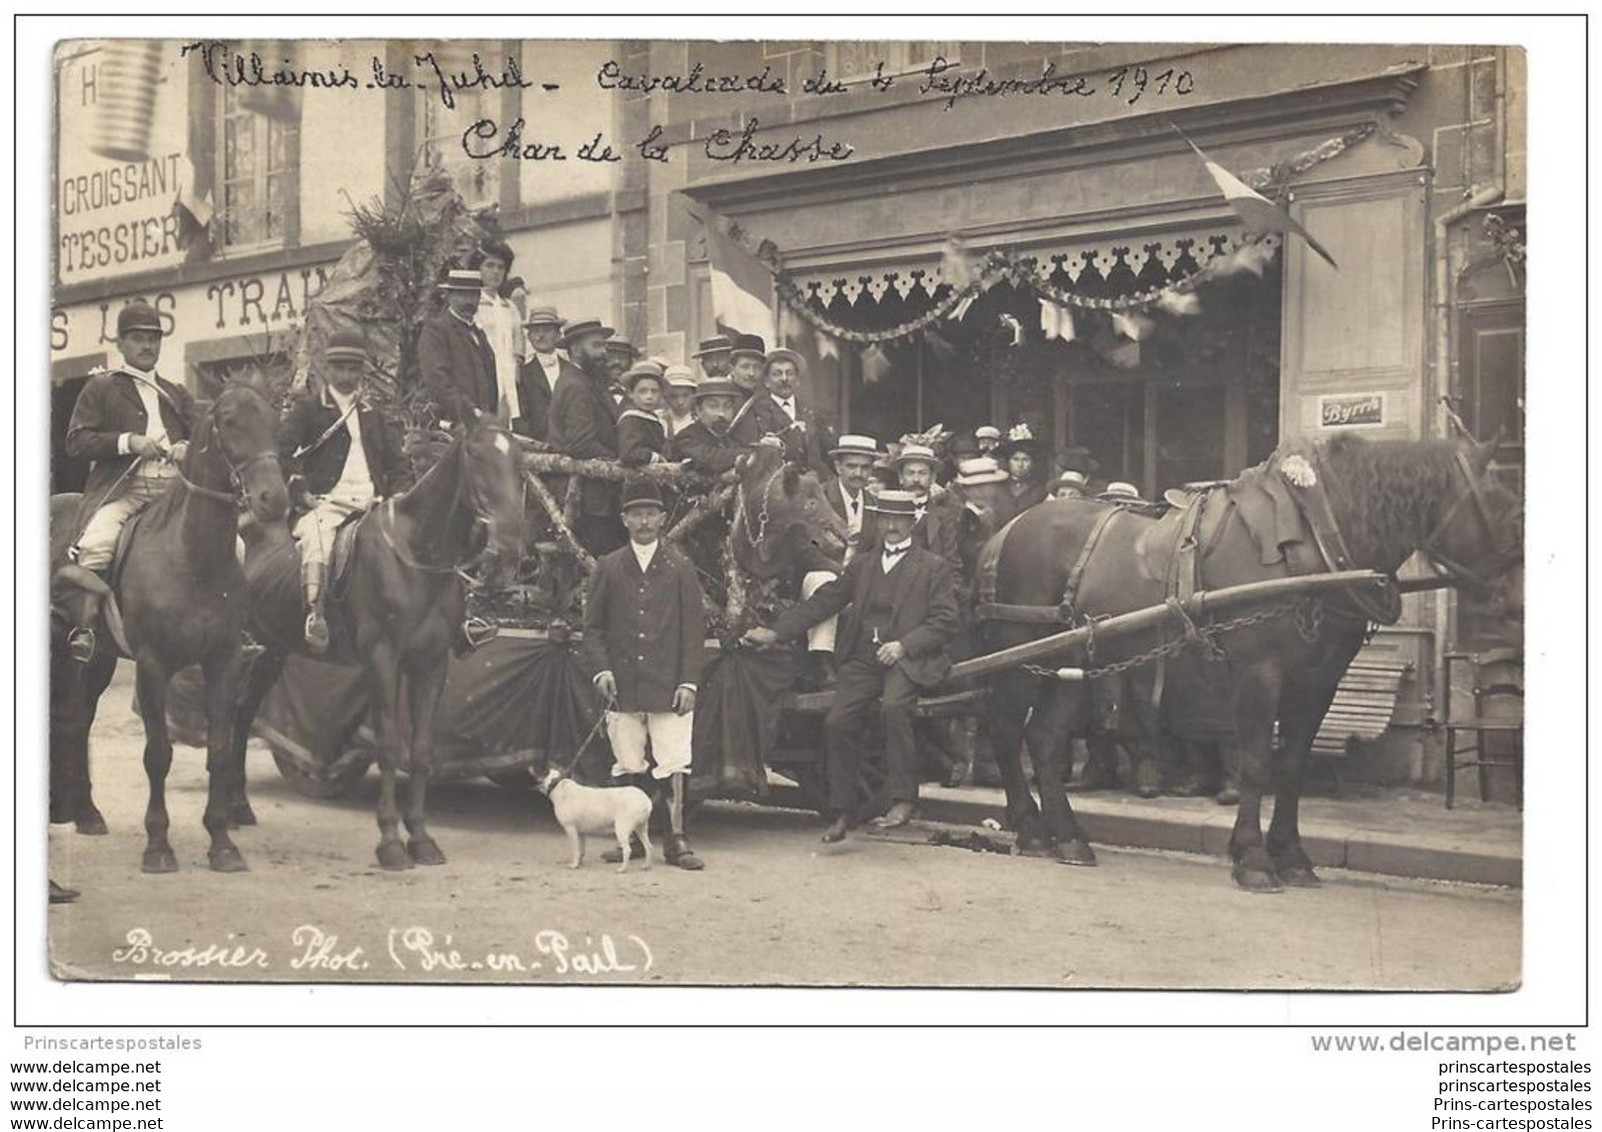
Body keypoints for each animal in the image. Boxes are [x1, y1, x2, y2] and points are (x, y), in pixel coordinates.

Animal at [47, 385, 288, 871]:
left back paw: (87, 814)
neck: (192, 556)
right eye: (230, 423)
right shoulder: (153, 666)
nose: (274, 498)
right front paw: (158, 846)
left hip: (98, 658)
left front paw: (222, 842)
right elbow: (158, 754)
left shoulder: (224, 663)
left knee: (79, 719)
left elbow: (219, 750)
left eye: (274, 422)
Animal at [232, 416, 522, 871]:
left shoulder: (431, 664)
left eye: (518, 460)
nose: (508, 550)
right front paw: (390, 841)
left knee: (242, 714)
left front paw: (421, 838)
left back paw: (237, 806)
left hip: (271, 653)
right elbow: (388, 745)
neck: (416, 555)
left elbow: (420, 750)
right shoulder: (382, 660)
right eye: (476, 456)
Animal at [974, 438, 1525, 890]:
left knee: (1045, 738)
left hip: (1071, 663)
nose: (1517, 606)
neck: (1315, 543)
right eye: (1504, 503)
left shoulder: (1317, 683)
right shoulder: (1260, 675)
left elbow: (1292, 766)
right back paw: (1031, 828)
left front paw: (1292, 856)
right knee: (1005, 732)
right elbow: (1258, 762)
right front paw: (1254, 858)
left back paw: (1067, 836)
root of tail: (1007, 528)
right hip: (1020, 660)